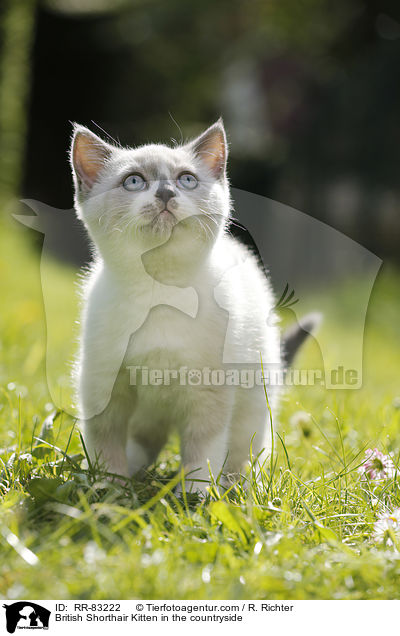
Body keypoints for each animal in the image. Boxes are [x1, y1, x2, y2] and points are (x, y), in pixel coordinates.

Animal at [71, 119, 284, 494]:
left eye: (186, 179)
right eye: (134, 181)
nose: (167, 193)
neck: (160, 290)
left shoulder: (209, 389)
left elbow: (203, 446)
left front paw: (195, 493)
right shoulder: (103, 384)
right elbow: (104, 441)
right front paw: (109, 488)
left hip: (255, 398)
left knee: (246, 449)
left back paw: (240, 487)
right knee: (144, 440)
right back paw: (135, 475)